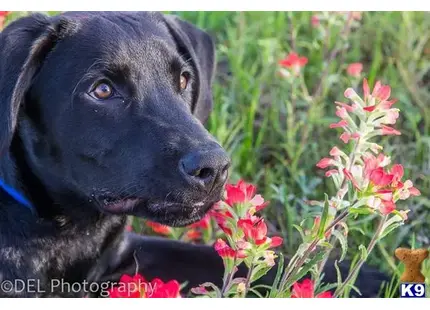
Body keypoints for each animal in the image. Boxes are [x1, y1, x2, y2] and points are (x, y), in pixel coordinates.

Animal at [0, 11, 388, 298]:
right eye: (102, 90)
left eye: (184, 80)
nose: (214, 168)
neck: (71, 233)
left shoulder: (124, 256)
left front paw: (372, 279)